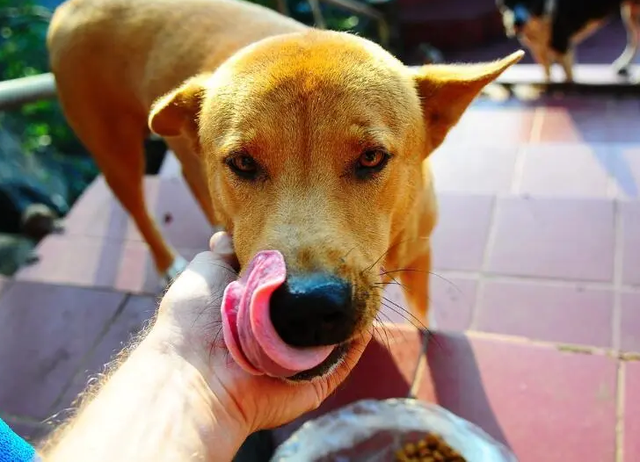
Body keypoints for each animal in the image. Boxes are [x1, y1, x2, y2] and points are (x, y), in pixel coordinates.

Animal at [48, 0, 520, 380]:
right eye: (243, 163)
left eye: (371, 158)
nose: (306, 306)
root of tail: (73, 5)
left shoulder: (421, 248)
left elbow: (423, 308)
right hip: (115, 152)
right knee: (135, 204)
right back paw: (166, 261)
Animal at [496, 0, 640, 81]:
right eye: (507, 3)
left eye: (529, 1)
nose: (517, 23)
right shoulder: (539, 51)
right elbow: (547, 76)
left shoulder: (564, 49)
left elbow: (568, 78)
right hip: (630, 13)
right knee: (634, 40)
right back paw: (623, 65)